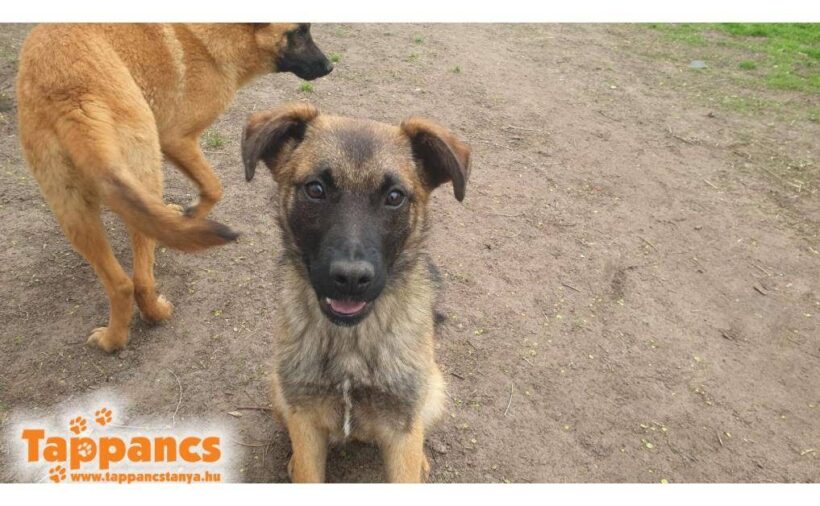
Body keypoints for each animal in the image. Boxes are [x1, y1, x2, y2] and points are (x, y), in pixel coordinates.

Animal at [15, 24, 333, 352]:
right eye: (300, 31)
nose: (329, 66)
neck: (217, 37)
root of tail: (71, 95)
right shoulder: (177, 140)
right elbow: (214, 187)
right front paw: (191, 217)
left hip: (76, 213)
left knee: (122, 284)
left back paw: (114, 339)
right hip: (144, 170)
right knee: (141, 279)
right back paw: (156, 313)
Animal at [242, 103, 472, 482]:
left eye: (394, 197)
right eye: (315, 189)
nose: (350, 278)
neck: (351, 343)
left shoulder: (401, 428)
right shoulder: (305, 422)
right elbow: (307, 467)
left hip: (433, 392)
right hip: (278, 389)